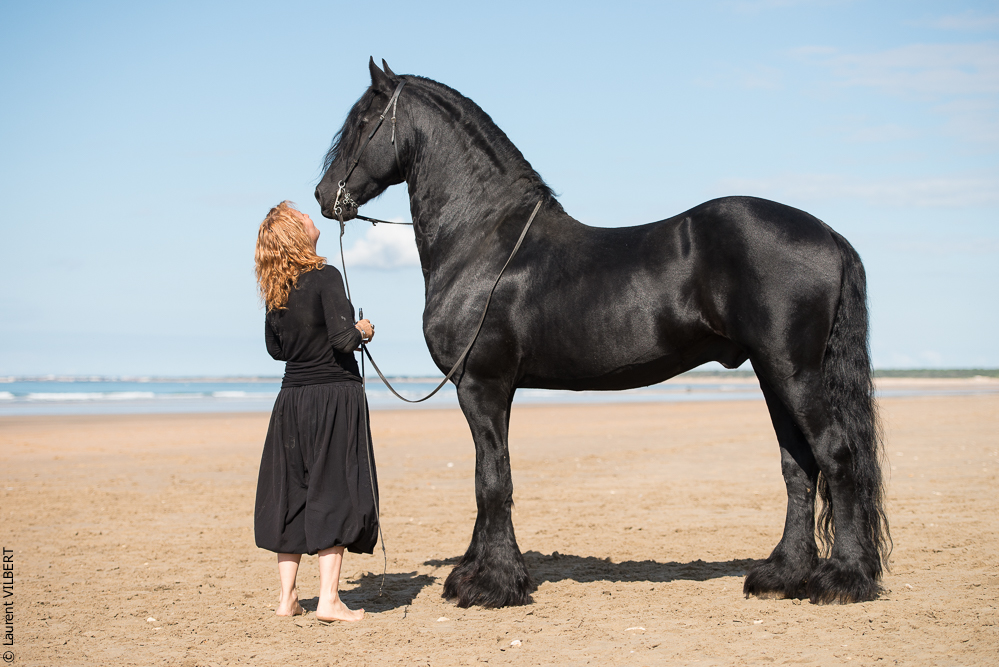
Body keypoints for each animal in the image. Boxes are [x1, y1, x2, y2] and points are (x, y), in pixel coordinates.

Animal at [315, 58, 890, 609]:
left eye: (362, 122)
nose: (323, 195)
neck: (485, 242)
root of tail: (828, 234)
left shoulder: (482, 385)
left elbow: (492, 482)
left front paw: (492, 585)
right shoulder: (490, 391)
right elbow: (487, 474)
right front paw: (475, 575)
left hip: (793, 373)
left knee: (835, 456)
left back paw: (842, 578)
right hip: (774, 375)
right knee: (799, 467)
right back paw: (782, 576)